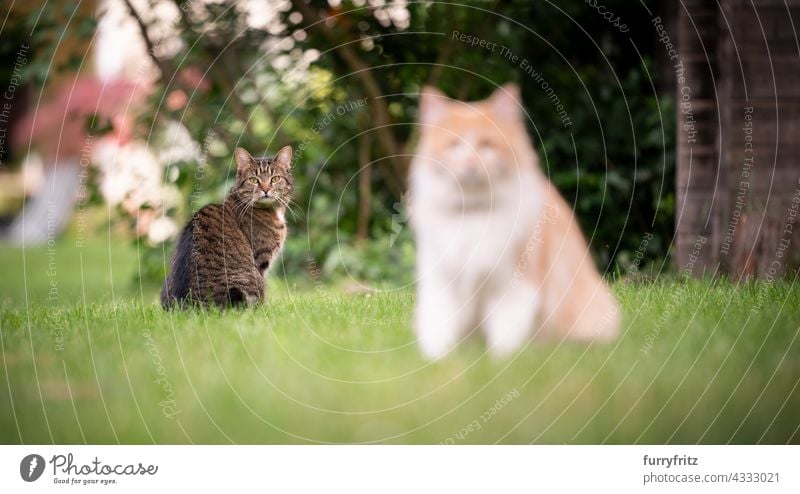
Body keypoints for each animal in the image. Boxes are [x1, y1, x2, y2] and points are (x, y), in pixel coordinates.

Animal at [410, 83, 620, 356]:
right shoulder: (441, 278)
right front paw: (438, 357)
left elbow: (506, 329)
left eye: (486, 145)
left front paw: (502, 358)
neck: (474, 211)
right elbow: (439, 323)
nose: (470, 164)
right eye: (455, 145)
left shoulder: (514, 283)